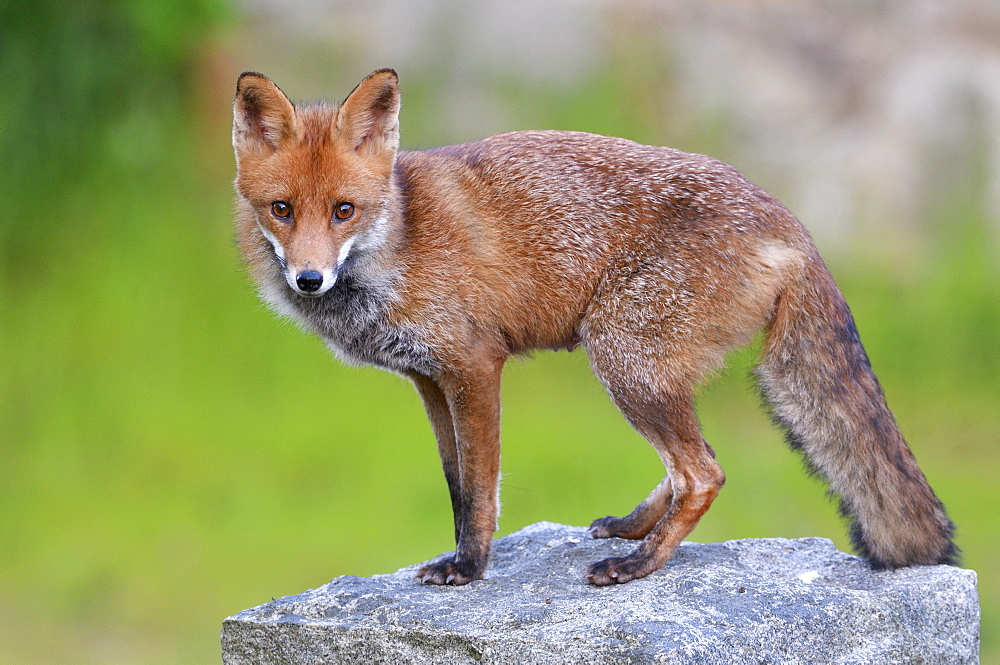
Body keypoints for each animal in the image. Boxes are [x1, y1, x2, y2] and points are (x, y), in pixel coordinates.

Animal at [230, 70, 956, 584]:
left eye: (344, 210)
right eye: (282, 209)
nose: (309, 279)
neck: (398, 242)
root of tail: (791, 221)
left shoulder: (473, 366)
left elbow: (482, 490)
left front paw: (470, 568)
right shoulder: (429, 380)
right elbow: (457, 485)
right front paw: (461, 555)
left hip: (621, 358)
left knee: (705, 472)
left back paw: (641, 564)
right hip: (649, 370)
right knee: (690, 462)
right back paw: (635, 527)